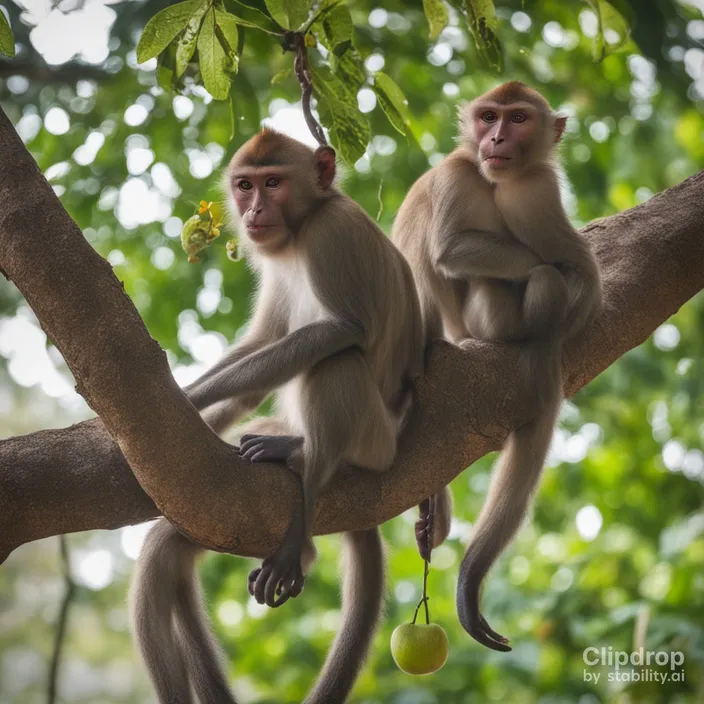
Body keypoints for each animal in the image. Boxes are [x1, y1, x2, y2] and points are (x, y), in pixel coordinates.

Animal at [131, 128, 428, 704]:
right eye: (245, 185)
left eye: (273, 183)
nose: (254, 211)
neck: (301, 228)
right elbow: (263, 342)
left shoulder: (332, 236)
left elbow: (343, 329)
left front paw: (193, 397)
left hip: (377, 439)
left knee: (334, 360)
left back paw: (301, 486)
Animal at [390, 84, 600, 656]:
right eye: (489, 117)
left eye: (518, 118)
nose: (498, 139)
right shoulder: (490, 178)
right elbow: (454, 248)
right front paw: (575, 281)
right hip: (479, 318)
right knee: (532, 276)